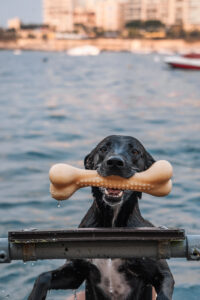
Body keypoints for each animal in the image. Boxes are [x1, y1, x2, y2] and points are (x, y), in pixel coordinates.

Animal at [28, 136, 173, 300]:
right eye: (103, 149)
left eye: (135, 151)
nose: (115, 162)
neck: (112, 225)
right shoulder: (75, 273)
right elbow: (43, 277)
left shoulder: (162, 273)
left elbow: (164, 291)